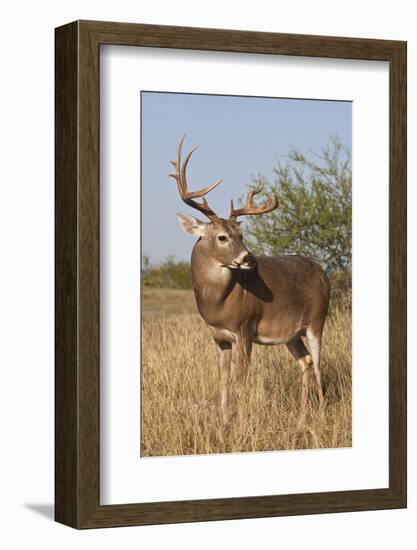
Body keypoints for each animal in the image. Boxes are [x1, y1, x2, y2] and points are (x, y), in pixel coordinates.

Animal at [169, 138, 328, 422]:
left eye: (241, 234)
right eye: (222, 237)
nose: (248, 257)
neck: (219, 303)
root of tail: (323, 273)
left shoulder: (244, 328)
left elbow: (240, 380)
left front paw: (241, 421)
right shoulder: (219, 337)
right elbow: (222, 379)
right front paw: (223, 421)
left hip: (317, 320)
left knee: (319, 362)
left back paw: (320, 411)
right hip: (292, 334)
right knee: (306, 361)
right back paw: (301, 417)